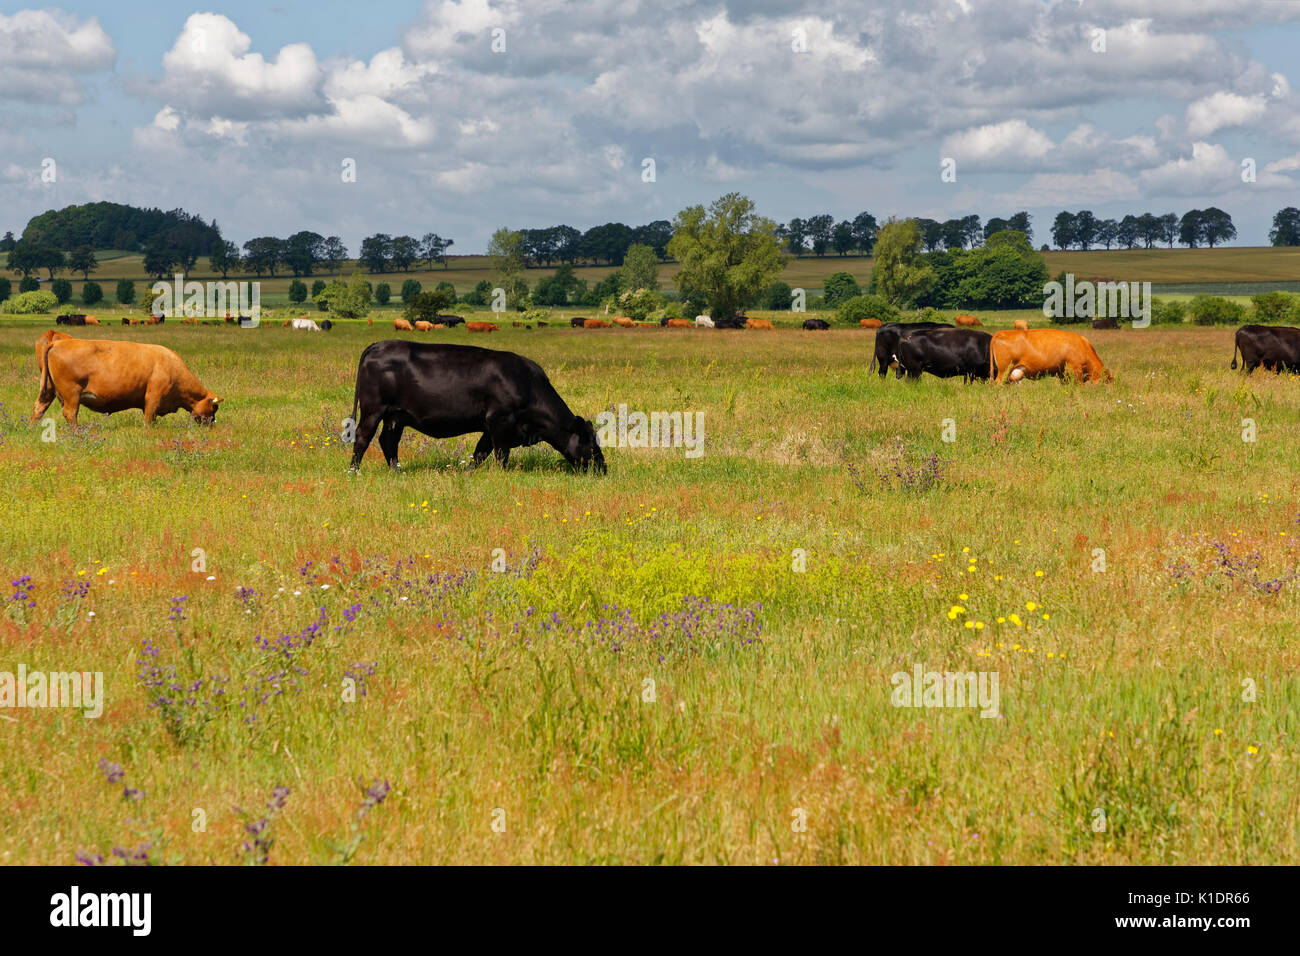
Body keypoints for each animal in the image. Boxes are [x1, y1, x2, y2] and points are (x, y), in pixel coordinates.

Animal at [32, 332, 222, 429]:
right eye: (214, 408)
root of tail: (57, 343)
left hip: (49, 390)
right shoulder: (153, 397)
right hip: (72, 394)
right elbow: (149, 419)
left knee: (39, 408)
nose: (212, 424)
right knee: (70, 413)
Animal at [348, 340, 605, 476]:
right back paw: (354, 471)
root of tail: (378, 345)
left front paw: (468, 473)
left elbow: (480, 453)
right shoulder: (500, 421)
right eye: (592, 445)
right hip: (373, 410)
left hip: (396, 416)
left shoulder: (489, 427)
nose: (603, 468)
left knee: (388, 441)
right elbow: (501, 454)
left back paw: (397, 470)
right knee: (363, 437)